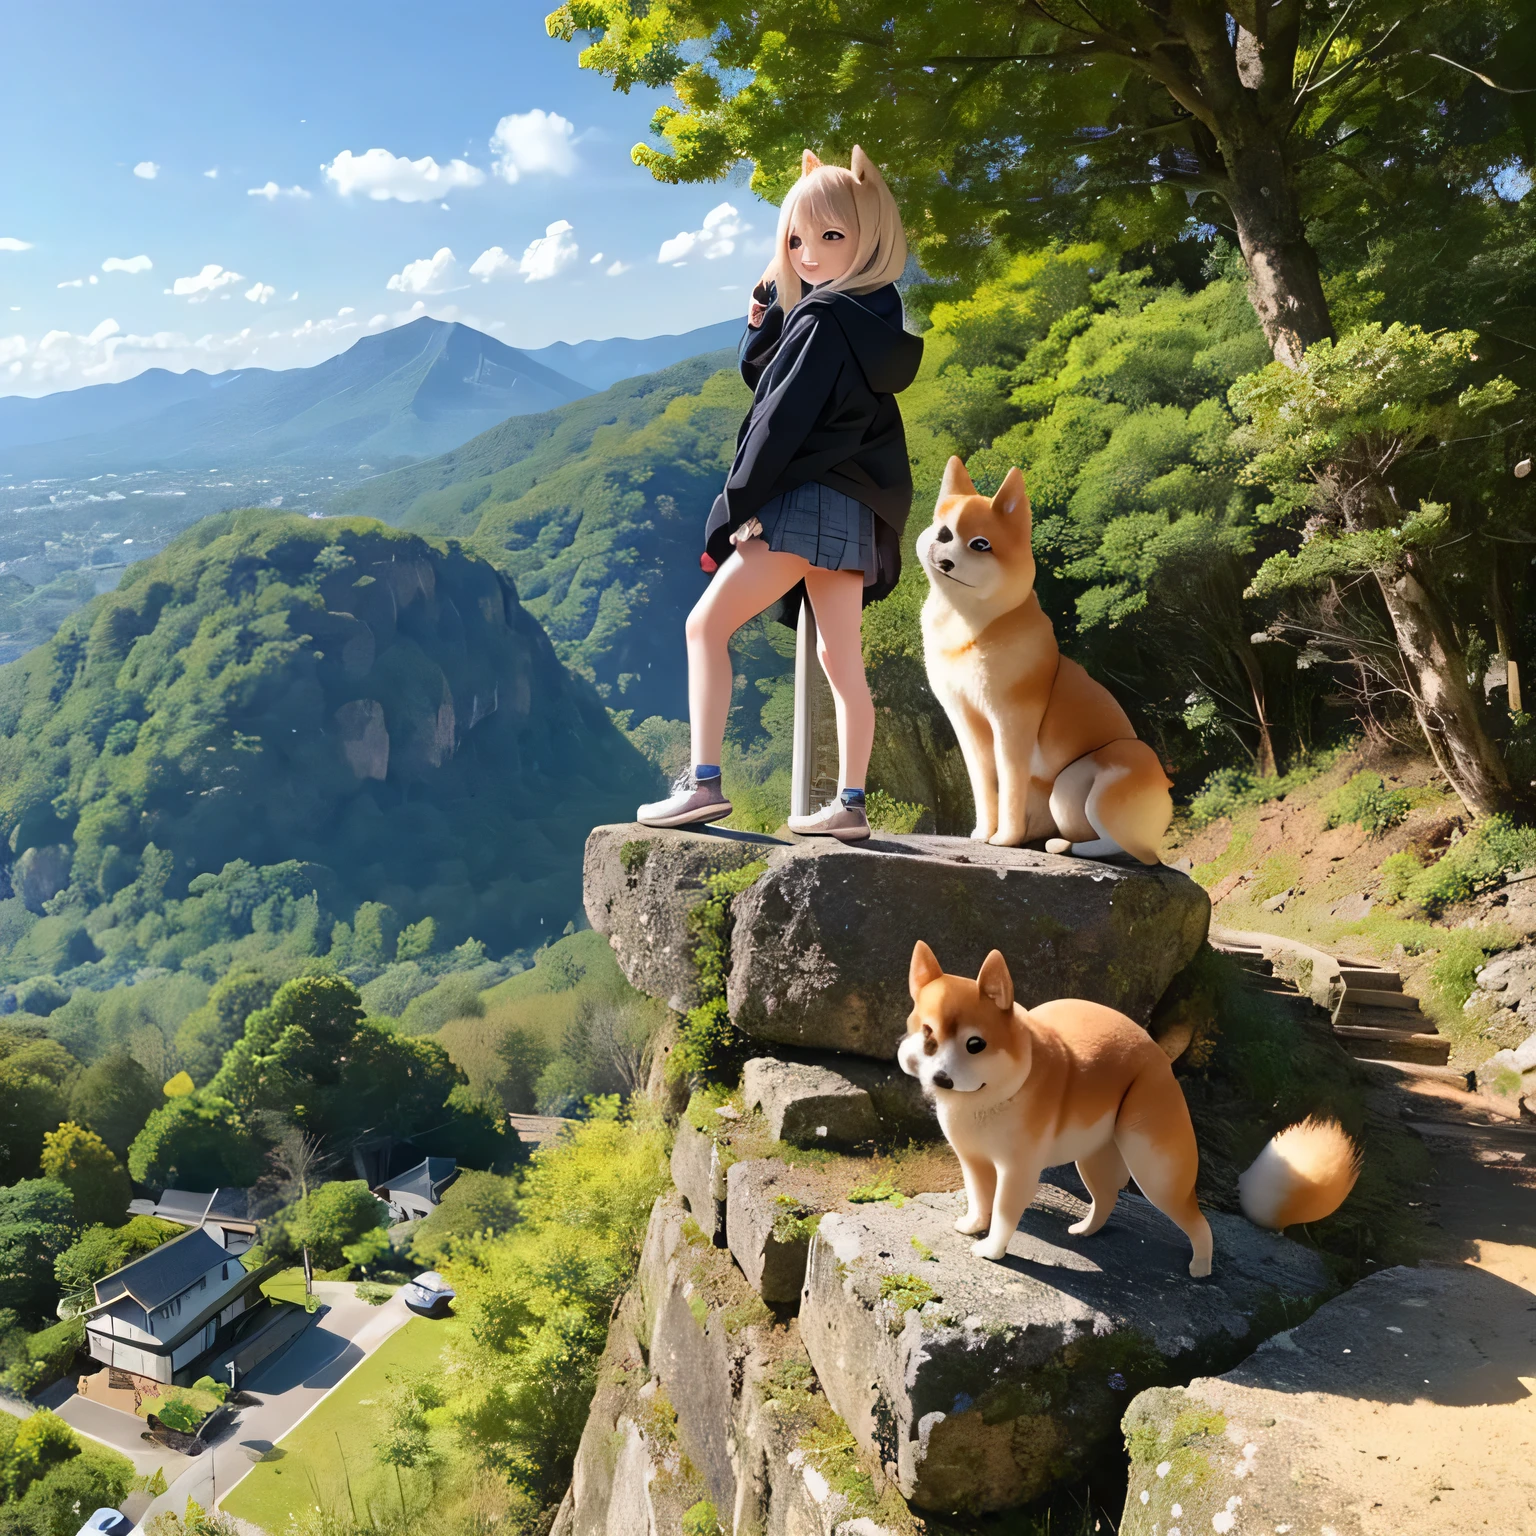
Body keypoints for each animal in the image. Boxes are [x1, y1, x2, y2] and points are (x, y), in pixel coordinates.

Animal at [897, 940, 1363, 1277]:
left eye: (975, 1044)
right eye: (927, 1035)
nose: (942, 1080)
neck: (987, 1098)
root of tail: (1155, 1052)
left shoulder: (1018, 1171)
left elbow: (1005, 1213)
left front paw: (992, 1249)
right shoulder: (974, 1161)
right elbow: (980, 1199)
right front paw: (972, 1225)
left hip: (1156, 1169)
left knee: (1198, 1222)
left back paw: (1201, 1267)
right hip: (1096, 1156)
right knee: (1106, 1199)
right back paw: (1086, 1230)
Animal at [909, 454, 1173, 866]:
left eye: (980, 544)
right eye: (942, 530)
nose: (944, 552)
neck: (968, 625)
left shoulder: (1012, 720)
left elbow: (1009, 784)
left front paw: (1005, 839)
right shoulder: (965, 720)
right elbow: (983, 783)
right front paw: (982, 834)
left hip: (1086, 780)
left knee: (1131, 849)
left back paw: (1063, 845)